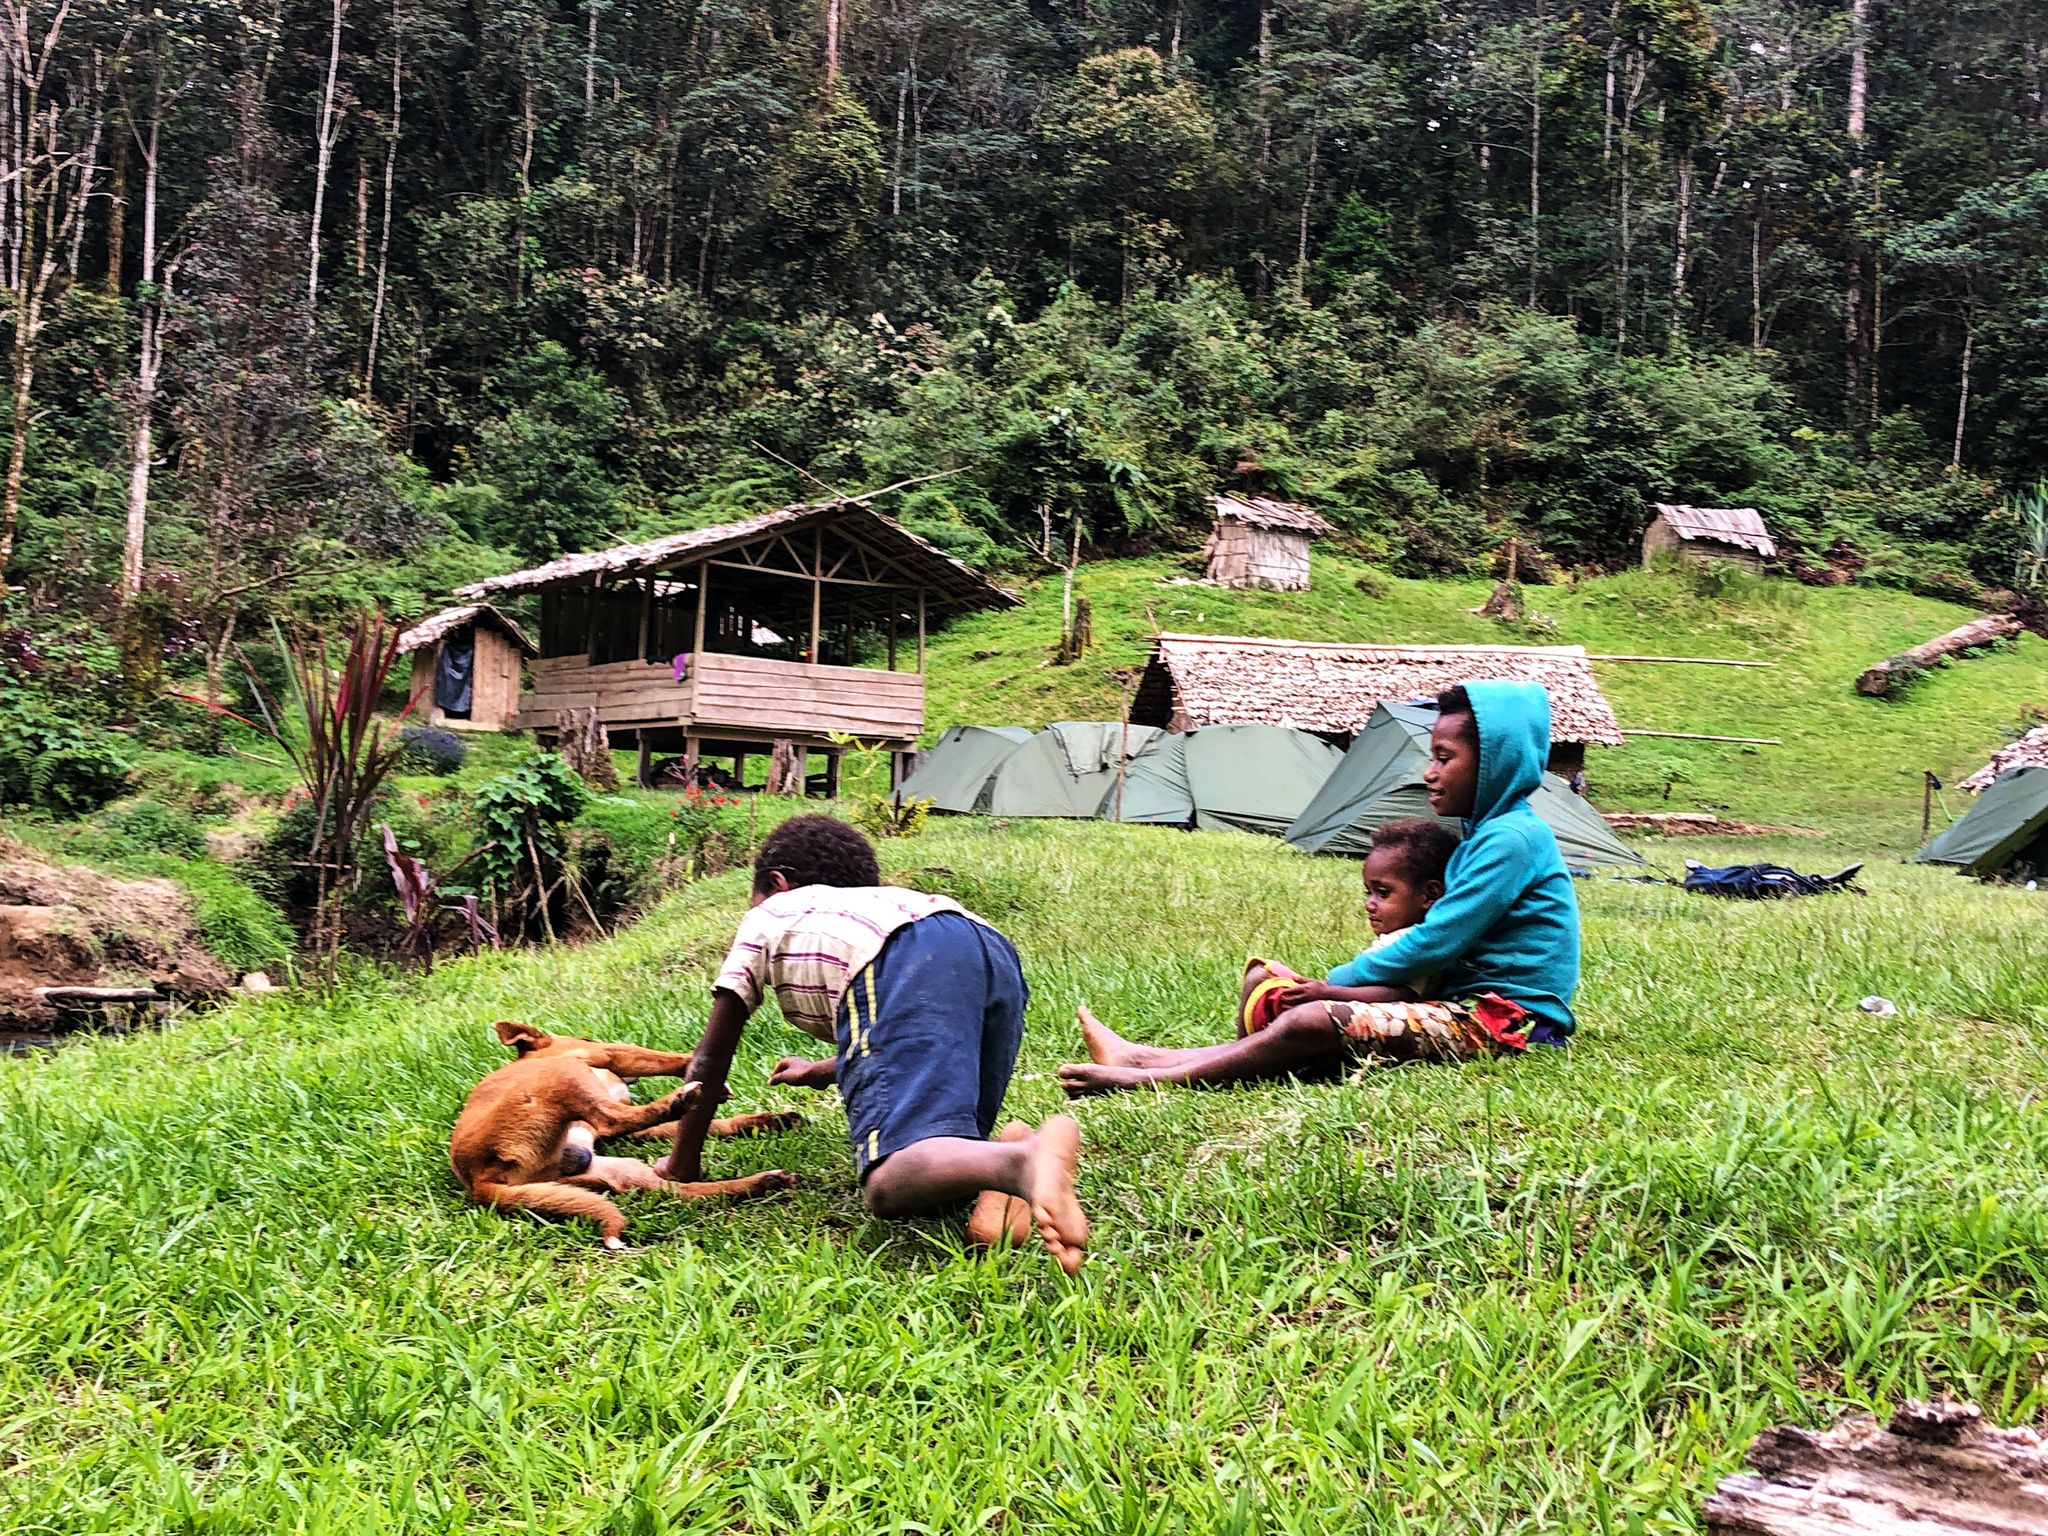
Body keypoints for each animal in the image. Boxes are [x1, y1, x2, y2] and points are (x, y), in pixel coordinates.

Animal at [450, 1024, 798, 1253]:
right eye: (585, 1037)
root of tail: (479, 1182)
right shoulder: (607, 1053)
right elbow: (658, 1058)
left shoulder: (633, 1131)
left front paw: (765, 1121)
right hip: (564, 1071)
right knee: (613, 1117)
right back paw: (678, 1100)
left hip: (617, 1169)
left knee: (683, 1192)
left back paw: (764, 1182)